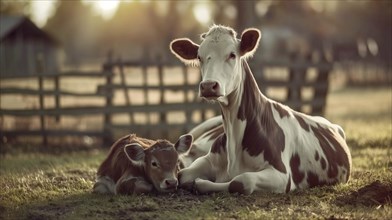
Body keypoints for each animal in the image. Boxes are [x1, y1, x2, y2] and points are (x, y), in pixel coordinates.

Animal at [169, 24, 352, 195]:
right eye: (199, 57)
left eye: (232, 54)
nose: (208, 86)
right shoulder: (209, 159)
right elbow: (182, 174)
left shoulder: (282, 175)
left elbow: (240, 181)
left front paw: (201, 183)